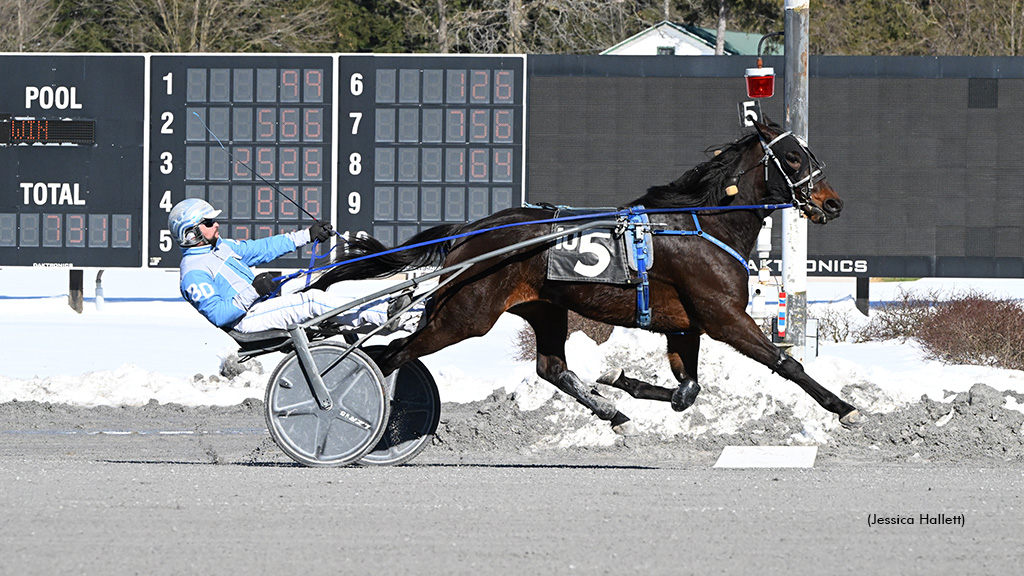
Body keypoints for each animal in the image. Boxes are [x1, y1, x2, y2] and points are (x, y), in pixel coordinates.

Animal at [307, 121, 860, 434]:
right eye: (793, 157)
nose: (833, 203)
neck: (704, 224)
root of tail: (473, 231)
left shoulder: (685, 324)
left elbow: (687, 391)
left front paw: (621, 383)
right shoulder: (723, 316)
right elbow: (786, 364)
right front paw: (842, 406)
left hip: (544, 307)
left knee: (551, 368)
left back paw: (611, 412)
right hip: (464, 315)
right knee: (387, 355)